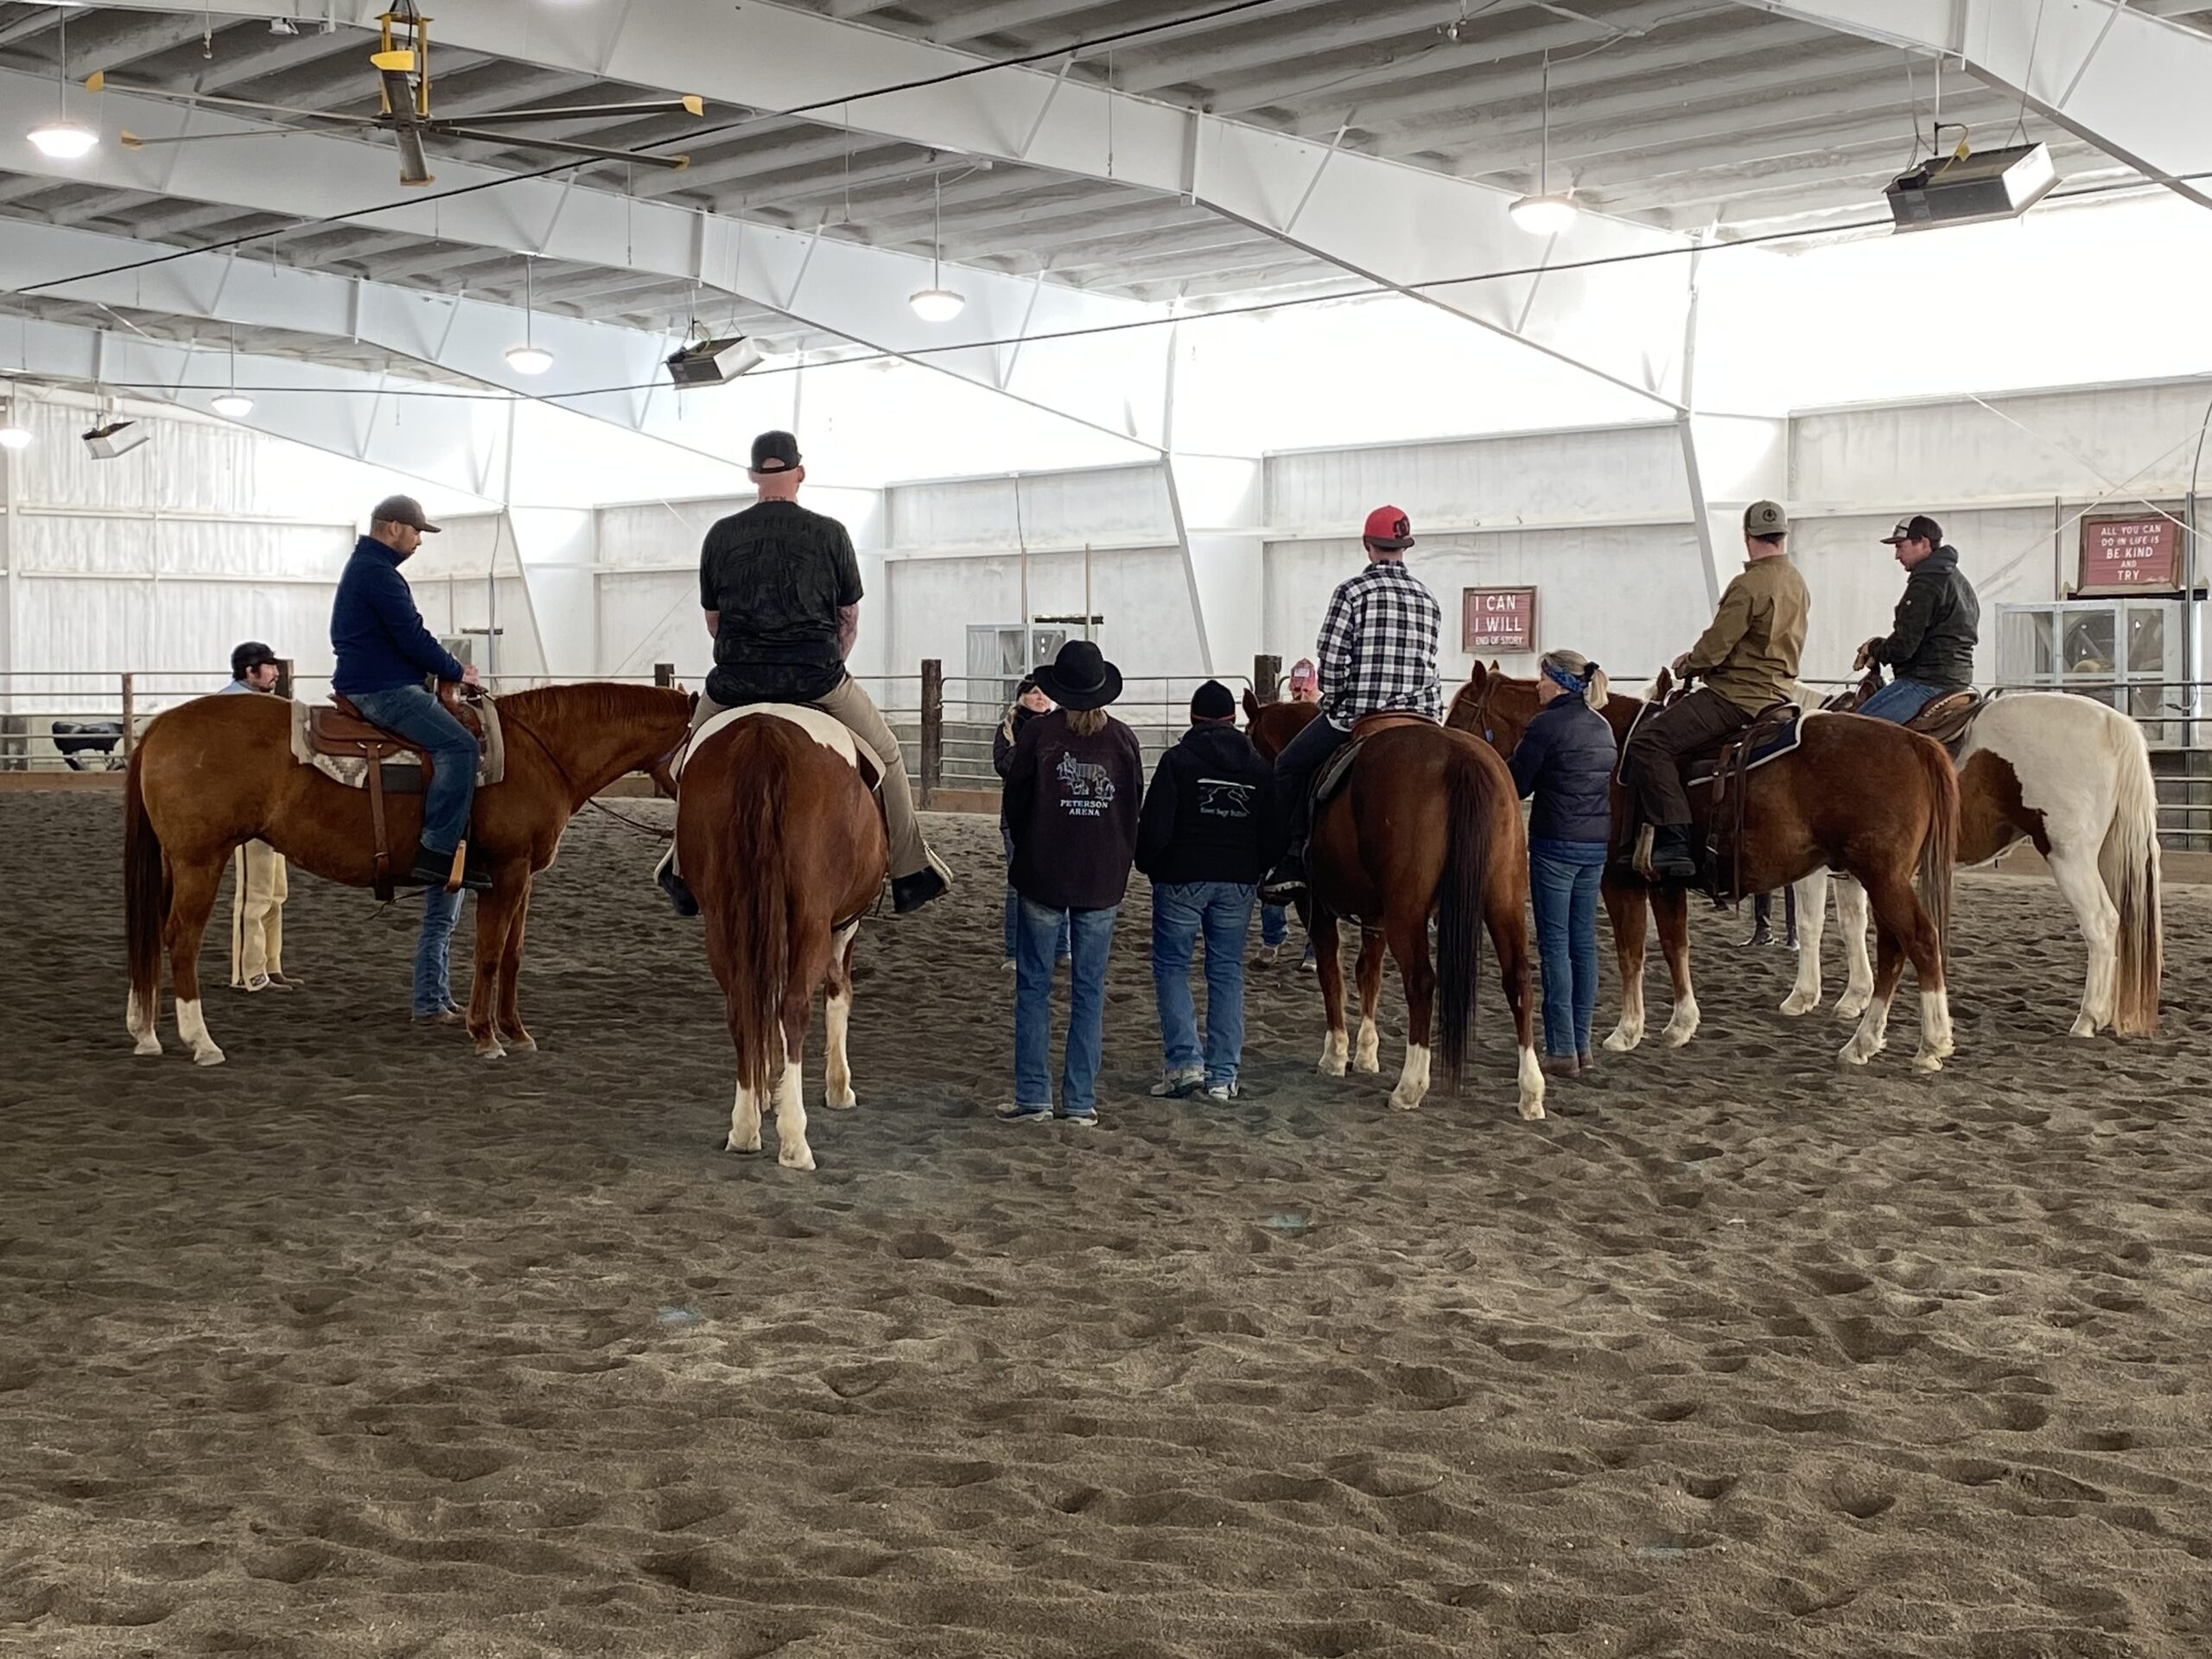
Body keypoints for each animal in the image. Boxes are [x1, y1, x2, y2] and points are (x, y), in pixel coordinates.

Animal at [123, 685, 690, 1065]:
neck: (538, 753)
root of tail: (161, 726)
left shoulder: (524, 876)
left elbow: (512, 955)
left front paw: (516, 1031)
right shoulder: (506, 872)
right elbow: (489, 954)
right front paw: (486, 1036)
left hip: (174, 863)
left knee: (151, 936)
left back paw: (145, 1032)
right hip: (200, 860)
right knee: (182, 940)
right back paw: (201, 1042)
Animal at [677, 708, 885, 1176]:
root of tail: (763, 731)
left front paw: (767, 1089)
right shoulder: (843, 926)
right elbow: (838, 994)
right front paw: (837, 1089)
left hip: (724, 918)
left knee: (742, 1006)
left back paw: (745, 1129)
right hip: (811, 917)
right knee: (793, 1008)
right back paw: (794, 1142)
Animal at [1247, 690, 1539, 1132]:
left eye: (1248, 741)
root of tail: (1460, 758)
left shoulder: (1315, 907)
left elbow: (1331, 974)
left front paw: (1335, 1055)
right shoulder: (1375, 917)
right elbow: (1367, 973)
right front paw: (1366, 1053)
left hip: (1409, 913)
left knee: (1421, 981)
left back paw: (1410, 1087)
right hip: (1502, 899)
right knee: (1517, 978)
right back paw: (1531, 1093)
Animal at [1459, 668, 1964, 1079]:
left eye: (1460, 715)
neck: (1615, 746)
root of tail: (1915, 743)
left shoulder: (1619, 880)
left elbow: (1630, 952)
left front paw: (1627, 1030)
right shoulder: (1662, 881)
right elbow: (1673, 945)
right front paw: (1680, 1024)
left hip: (1883, 878)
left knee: (1920, 941)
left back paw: (1930, 1043)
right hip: (1881, 880)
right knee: (1895, 949)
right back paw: (1865, 1041)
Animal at [1778, 694, 2158, 1044]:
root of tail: (2112, 723)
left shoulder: (1815, 869)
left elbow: (1810, 924)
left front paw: (1801, 996)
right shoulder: (1856, 871)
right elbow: (1852, 925)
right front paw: (1853, 998)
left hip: (2070, 857)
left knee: (2101, 924)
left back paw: (2088, 1018)